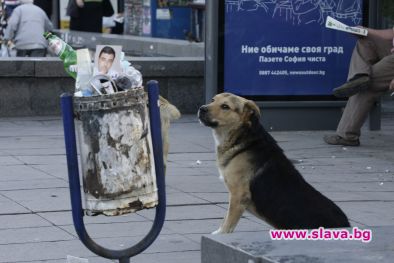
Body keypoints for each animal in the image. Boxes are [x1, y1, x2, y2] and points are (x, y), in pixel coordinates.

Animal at [199, 93, 350, 235]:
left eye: (225, 106)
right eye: (213, 100)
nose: (201, 109)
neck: (241, 136)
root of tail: (347, 224)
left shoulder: (239, 195)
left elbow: (228, 223)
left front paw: (220, 234)